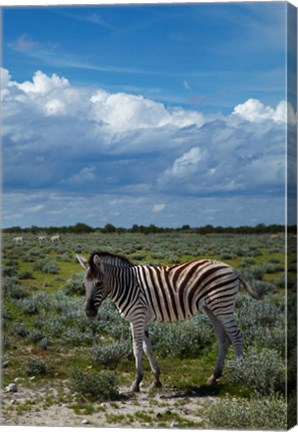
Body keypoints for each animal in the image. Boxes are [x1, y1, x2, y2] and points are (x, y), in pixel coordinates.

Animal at [77, 250, 260, 392]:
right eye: (84, 283)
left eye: (99, 283)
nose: (89, 313)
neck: (126, 285)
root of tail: (232, 268)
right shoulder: (139, 318)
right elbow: (147, 347)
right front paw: (155, 380)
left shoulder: (137, 316)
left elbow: (137, 349)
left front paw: (136, 383)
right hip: (212, 308)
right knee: (223, 339)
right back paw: (214, 377)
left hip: (223, 306)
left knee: (236, 336)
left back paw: (239, 374)